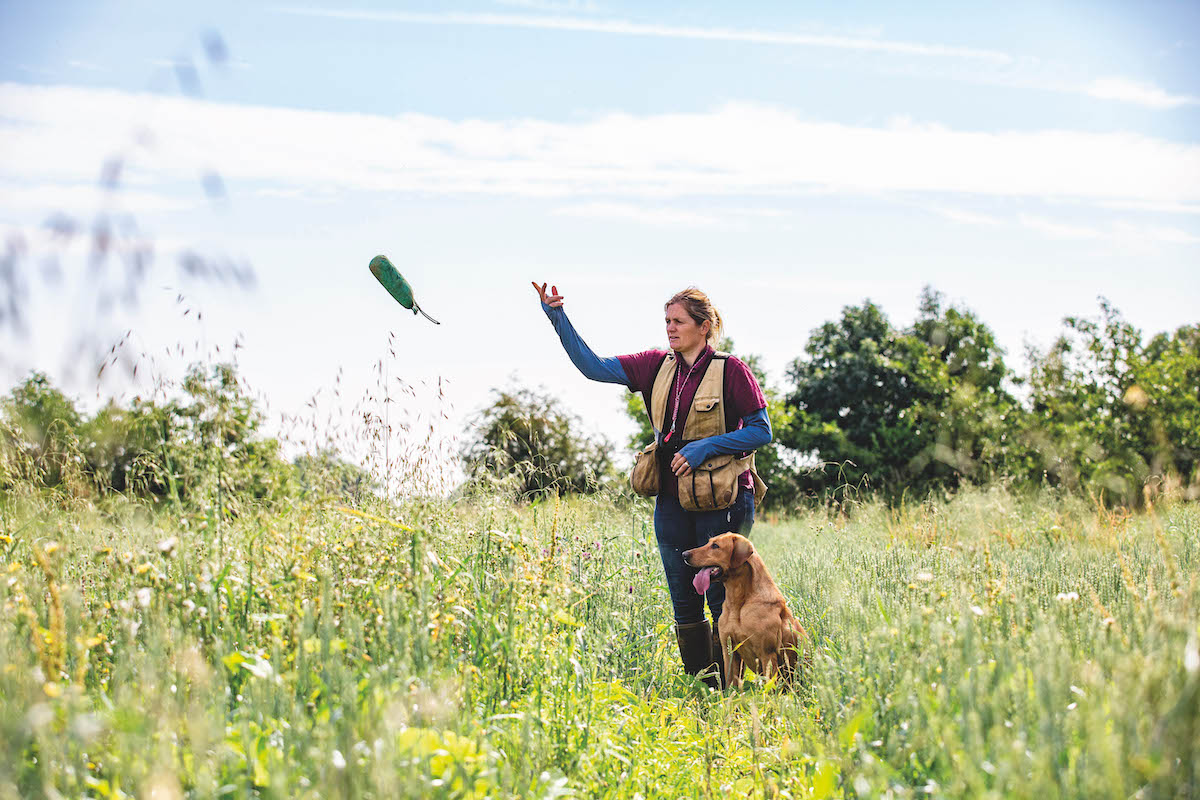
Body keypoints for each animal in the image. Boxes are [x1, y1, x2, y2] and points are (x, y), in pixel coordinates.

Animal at [686, 532, 806, 690]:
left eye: (715, 546)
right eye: (709, 542)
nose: (684, 554)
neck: (738, 603)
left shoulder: (767, 654)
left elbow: (769, 688)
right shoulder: (729, 652)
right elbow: (731, 684)